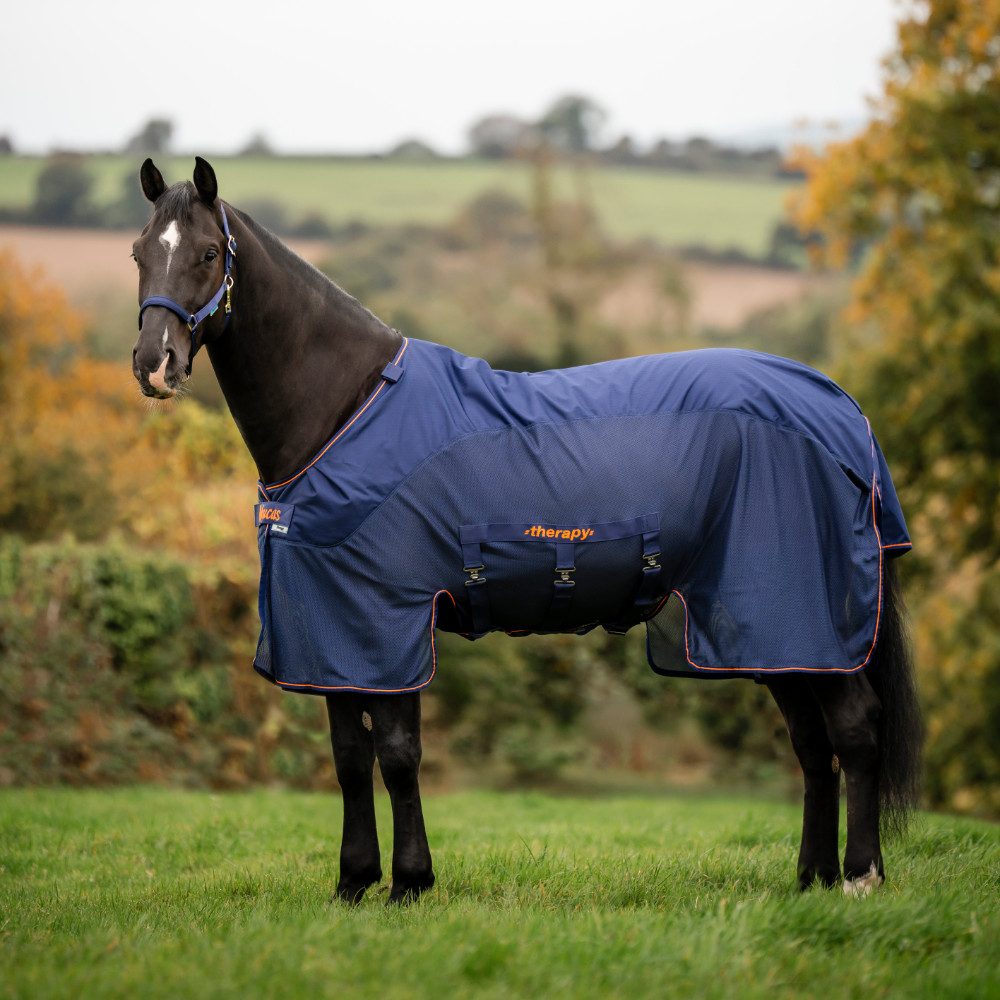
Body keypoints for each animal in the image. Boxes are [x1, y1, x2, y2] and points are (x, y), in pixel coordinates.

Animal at [130, 157, 922, 903]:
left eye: (208, 252)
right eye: (140, 252)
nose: (153, 365)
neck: (346, 411)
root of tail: (841, 409)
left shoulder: (385, 624)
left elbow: (398, 756)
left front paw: (409, 883)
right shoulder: (331, 637)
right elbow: (350, 761)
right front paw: (353, 883)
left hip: (800, 615)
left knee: (854, 730)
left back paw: (860, 877)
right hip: (770, 631)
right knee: (812, 744)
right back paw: (811, 877)